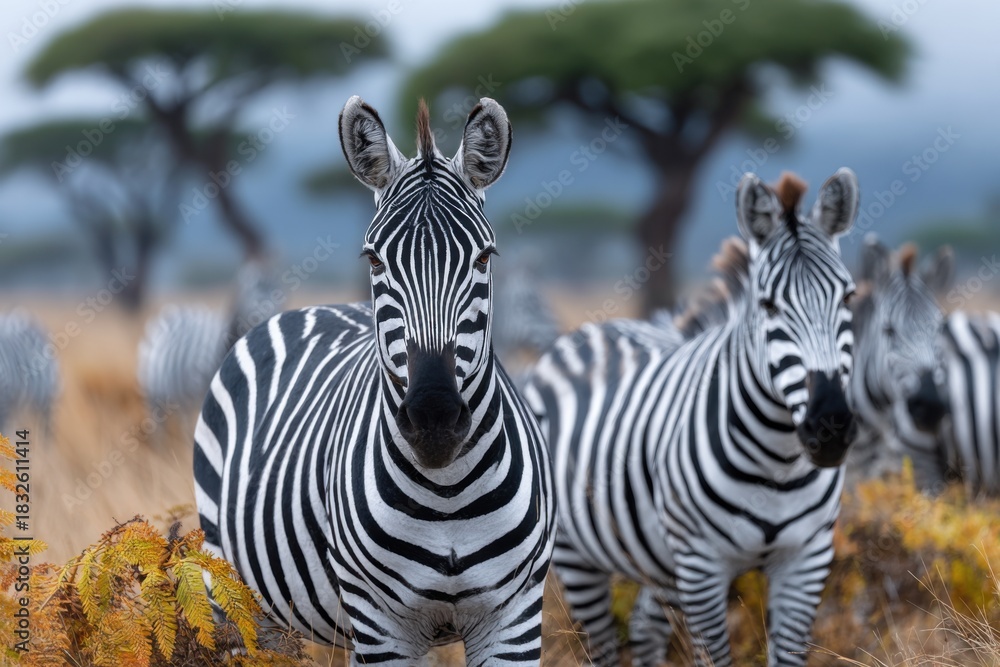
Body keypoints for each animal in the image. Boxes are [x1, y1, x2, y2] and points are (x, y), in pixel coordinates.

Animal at [193, 96, 555, 665]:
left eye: (484, 257)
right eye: (375, 258)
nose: (433, 418)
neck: (448, 495)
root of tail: (316, 307)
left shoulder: (514, 619)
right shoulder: (381, 626)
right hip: (240, 597)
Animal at [525, 169, 859, 666]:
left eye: (850, 296)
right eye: (768, 305)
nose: (831, 426)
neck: (778, 462)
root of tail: (590, 330)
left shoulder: (807, 559)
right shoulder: (701, 567)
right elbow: (714, 658)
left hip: (660, 561)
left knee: (643, 628)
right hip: (576, 555)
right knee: (603, 645)